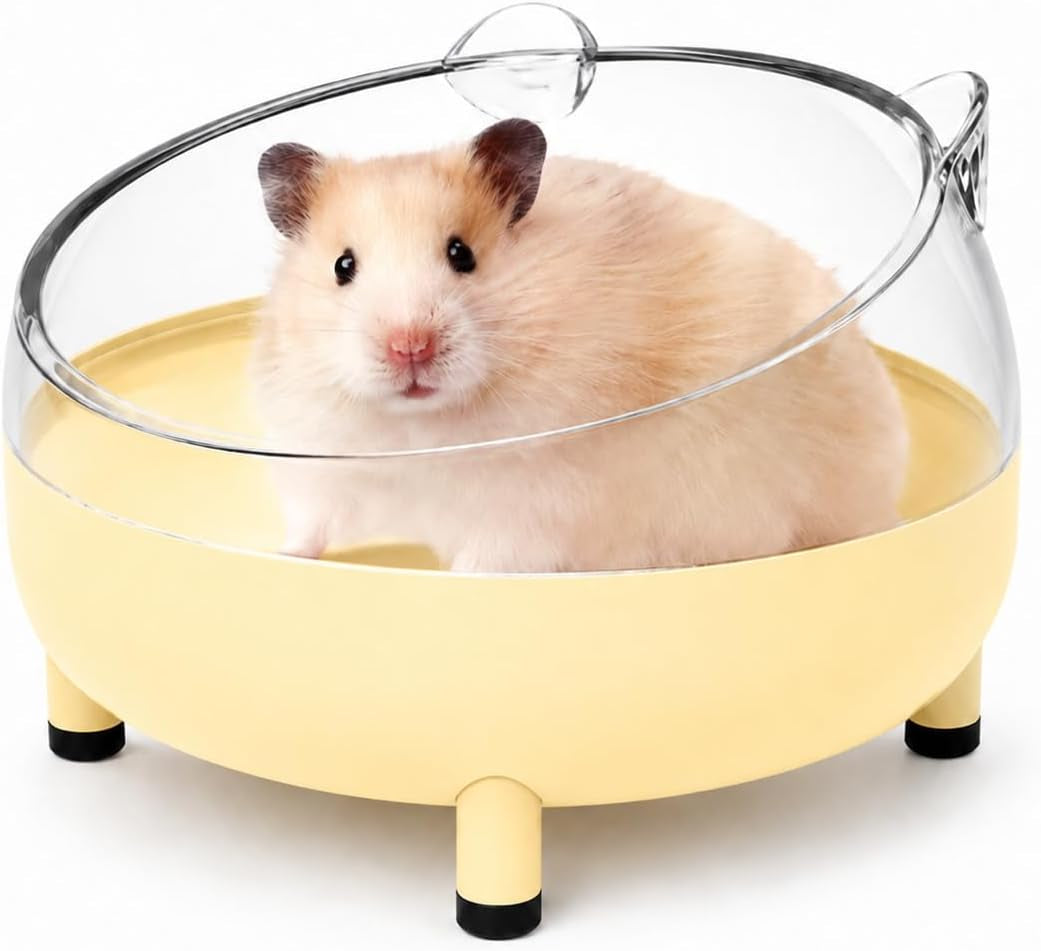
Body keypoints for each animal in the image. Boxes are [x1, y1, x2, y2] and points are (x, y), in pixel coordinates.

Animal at [252, 118, 908, 572]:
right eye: (343, 266)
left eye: (462, 254)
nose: (409, 347)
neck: (418, 429)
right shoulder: (318, 466)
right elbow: (309, 528)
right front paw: (277, 559)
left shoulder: (532, 508)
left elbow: (485, 560)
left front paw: (450, 583)